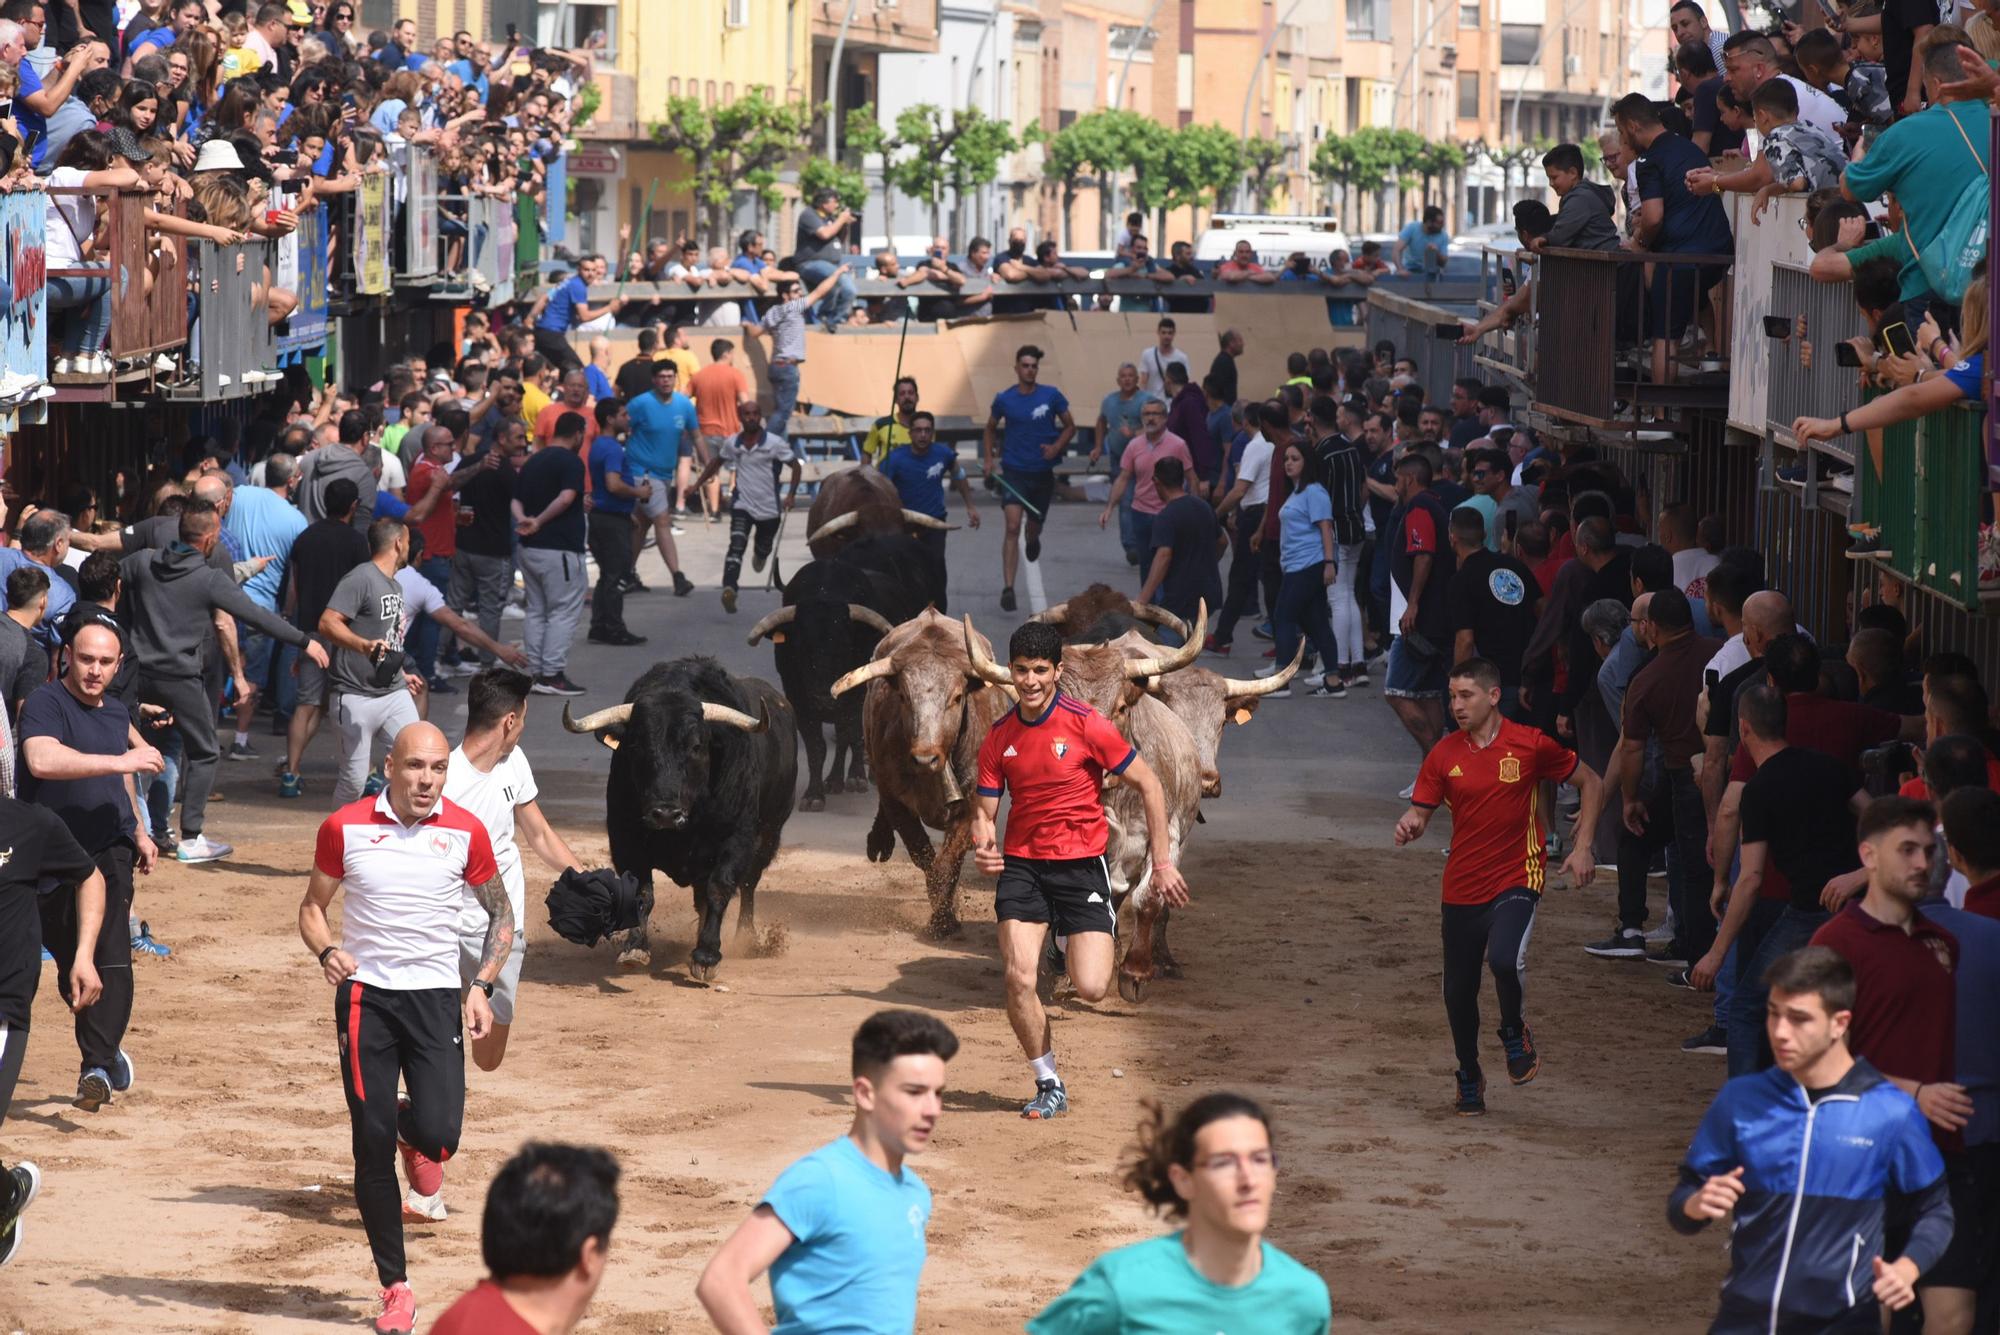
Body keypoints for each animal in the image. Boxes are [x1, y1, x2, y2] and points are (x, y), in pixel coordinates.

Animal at [564, 655, 796, 979]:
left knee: (748, 884)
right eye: (636, 746)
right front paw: (635, 947)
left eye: (696, 746)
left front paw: (707, 955)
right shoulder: (625, 840)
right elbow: (643, 893)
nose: (665, 814)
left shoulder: (736, 841)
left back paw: (746, 937)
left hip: (768, 836)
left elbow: (720, 888)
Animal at [828, 607, 1016, 939]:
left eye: (957, 697)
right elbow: (922, 853)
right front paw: (943, 915)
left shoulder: (972, 806)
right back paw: (879, 842)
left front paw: (944, 918)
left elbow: (949, 862)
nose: (925, 758)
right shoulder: (894, 797)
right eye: (903, 696)